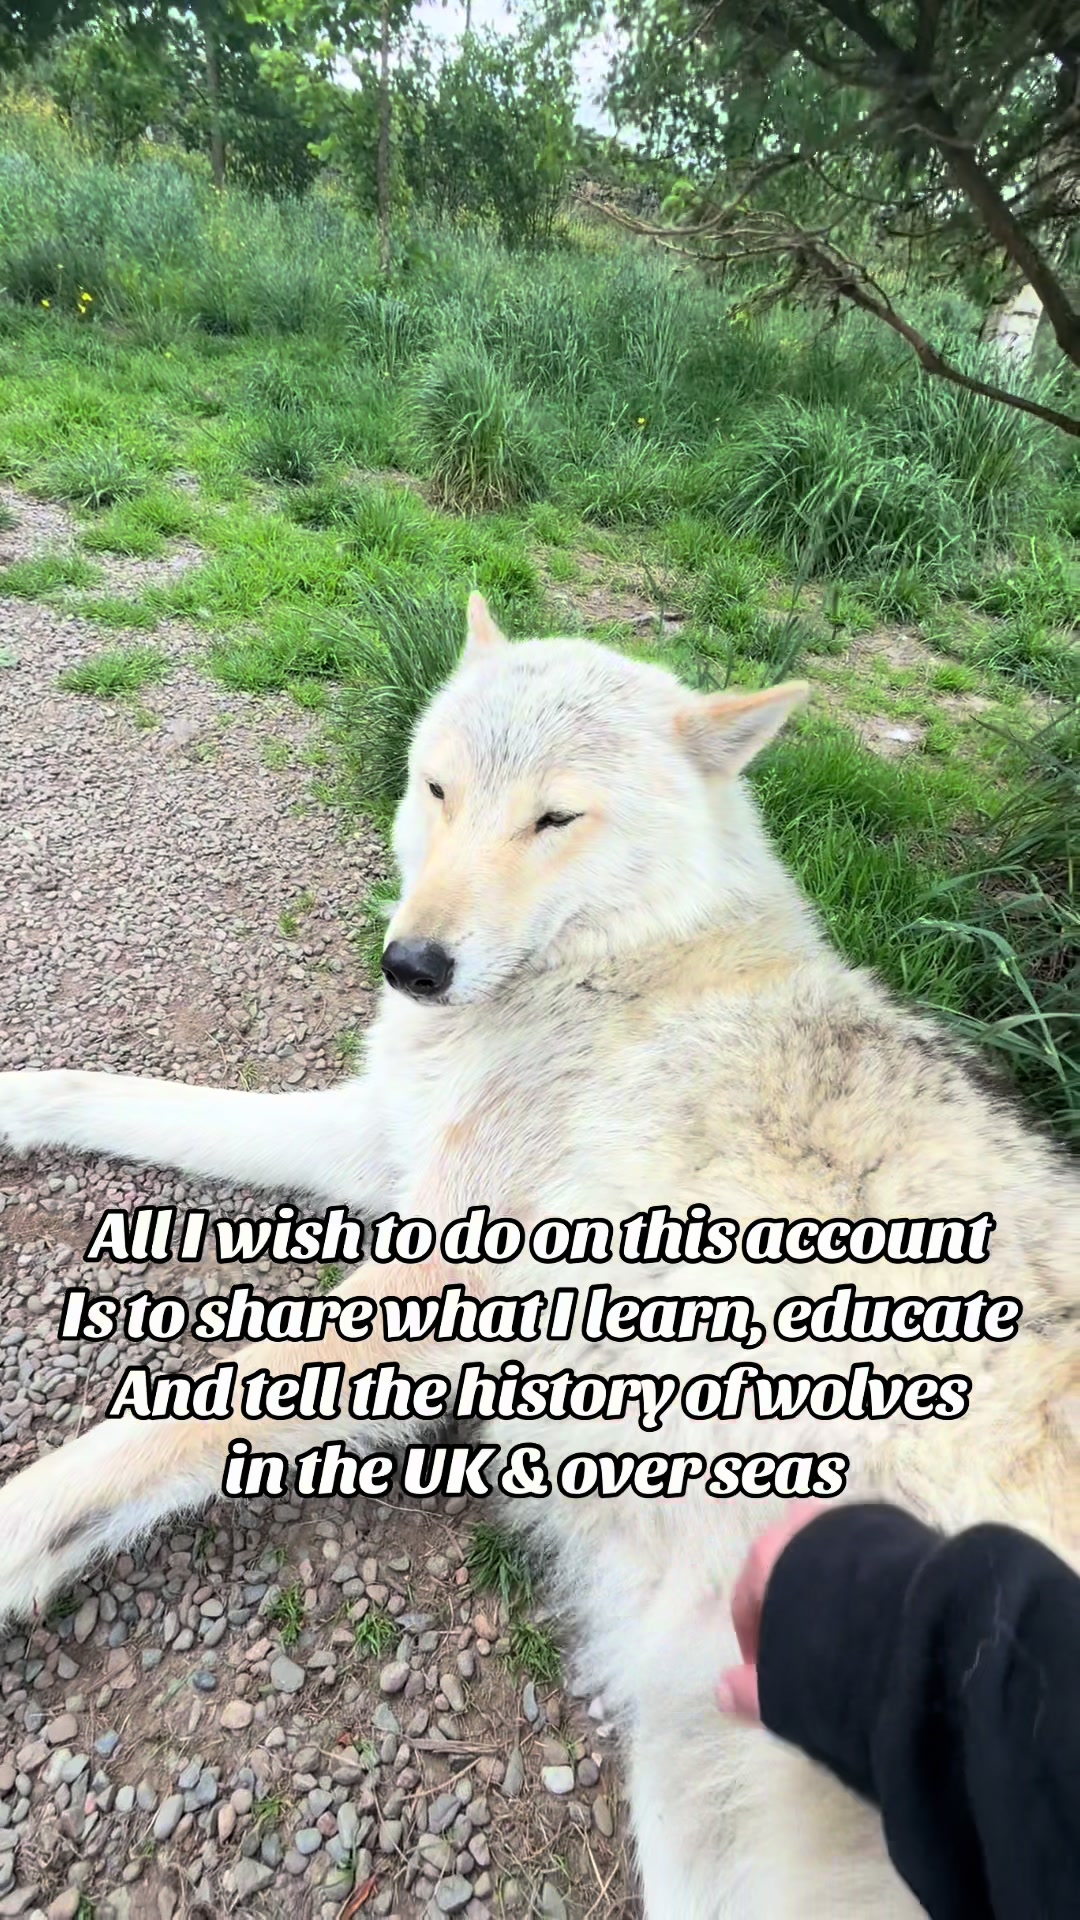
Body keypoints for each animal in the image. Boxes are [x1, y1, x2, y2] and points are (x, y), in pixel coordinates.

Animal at [0, 594, 1077, 1918]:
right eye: (440, 789)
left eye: (555, 818)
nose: (411, 968)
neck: (617, 969)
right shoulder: (380, 1147)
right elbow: (129, 1098)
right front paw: (14, 1102)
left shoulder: (429, 1297)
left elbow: (154, 1432)